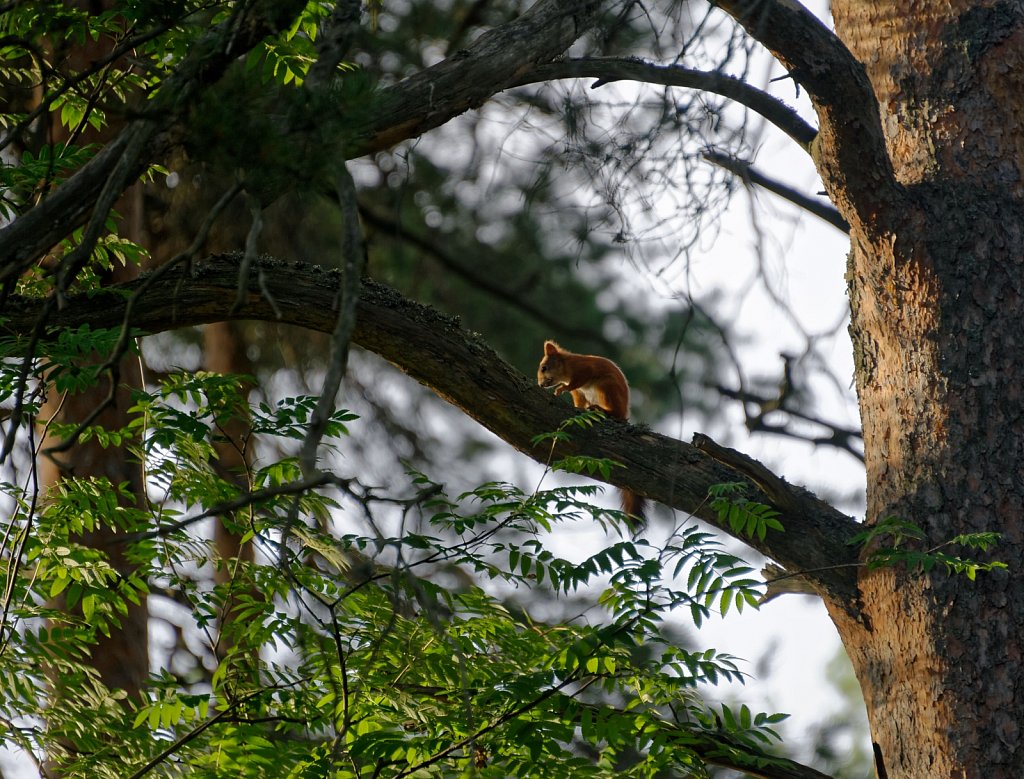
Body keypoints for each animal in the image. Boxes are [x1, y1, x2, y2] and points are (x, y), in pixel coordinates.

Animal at [540, 337, 643, 524]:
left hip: (606, 388)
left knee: (615, 413)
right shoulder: (579, 393)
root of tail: (625, 412)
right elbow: (578, 400)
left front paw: (560, 389)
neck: (566, 366)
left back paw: (602, 410)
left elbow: (578, 380)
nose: (540, 384)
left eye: (544, 368)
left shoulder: (584, 370)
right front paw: (575, 406)